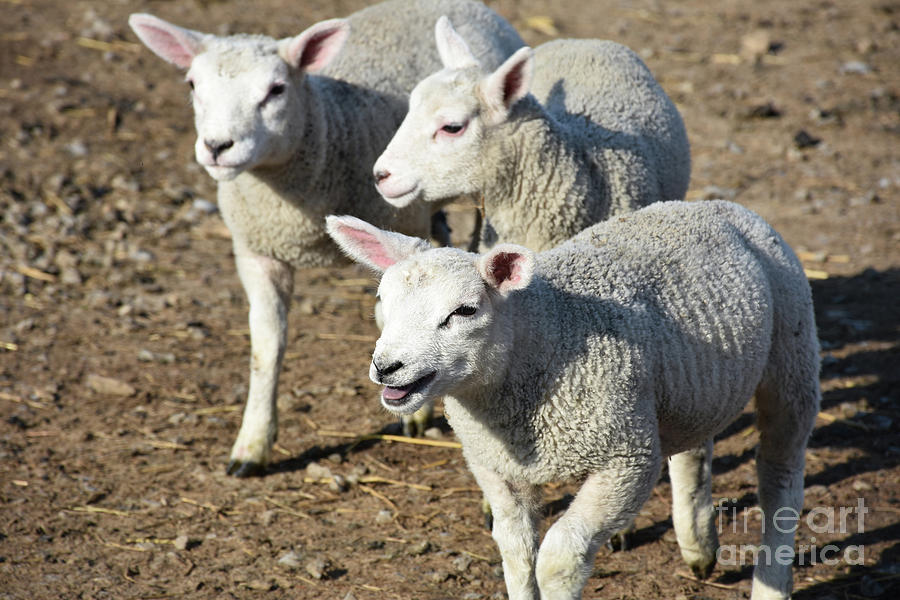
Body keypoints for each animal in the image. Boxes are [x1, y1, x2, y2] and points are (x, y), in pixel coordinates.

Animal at [125, 1, 520, 478]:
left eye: (276, 89)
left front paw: (417, 408)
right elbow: (266, 346)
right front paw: (252, 445)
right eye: (192, 85)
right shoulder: (256, 252)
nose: (218, 147)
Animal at [328, 202, 824, 600]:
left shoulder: (626, 459)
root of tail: (719, 206)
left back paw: (770, 582)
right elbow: (516, 552)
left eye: (464, 311)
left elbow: (558, 557)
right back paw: (698, 546)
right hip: (687, 385)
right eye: (382, 299)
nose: (386, 367)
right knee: (693, 452)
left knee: (780, 480)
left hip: (793, 354)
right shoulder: (495, 466)